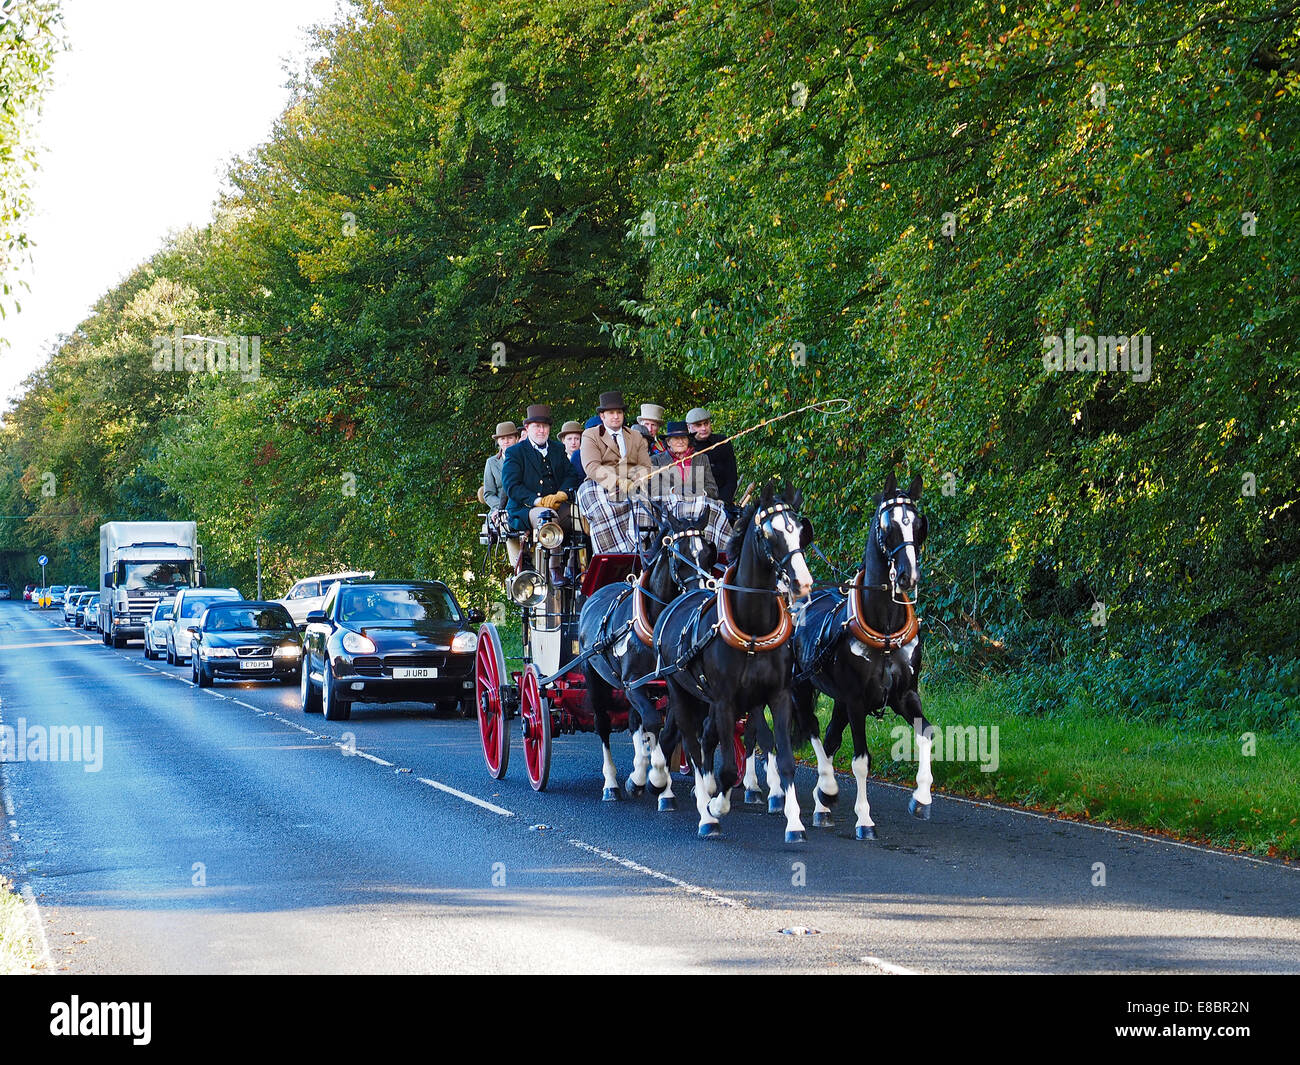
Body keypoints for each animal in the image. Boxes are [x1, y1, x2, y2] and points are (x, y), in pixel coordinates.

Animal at [582, 507, 717, 806]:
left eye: (708, 553)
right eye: (679, 554)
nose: (699, 594)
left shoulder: (671, 684)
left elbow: (668, 731)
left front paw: (657, 783)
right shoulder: (632, 683)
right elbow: (654, 723)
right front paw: (645, 778)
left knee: (636, 722)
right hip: (595, 678)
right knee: (603, 724)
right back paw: (611, 784)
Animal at [655, 483, 806, 842]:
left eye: (799, 531)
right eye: (770, 534)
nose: (801, 582)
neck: (753, 629)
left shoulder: (776, 696)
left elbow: (784, 758)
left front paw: (794, 822)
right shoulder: (724, 701)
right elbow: (724, 766)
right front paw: (715, 807)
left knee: (704, 739)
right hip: (679, 692)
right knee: (690, 744)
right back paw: (701, 810)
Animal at [785, 475, 930, 842]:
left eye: (917, 524)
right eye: (887, 526)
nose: (908, 576)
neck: (886, 629)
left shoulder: (905, 695)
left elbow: (927, 733)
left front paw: (922, 798)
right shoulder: (856, 701)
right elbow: (861, 760)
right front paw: (864, 820)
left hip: (835, 698)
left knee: (829, 738)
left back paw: (822, 803)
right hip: (800, 689)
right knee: (812, 730)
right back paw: (825, 790)